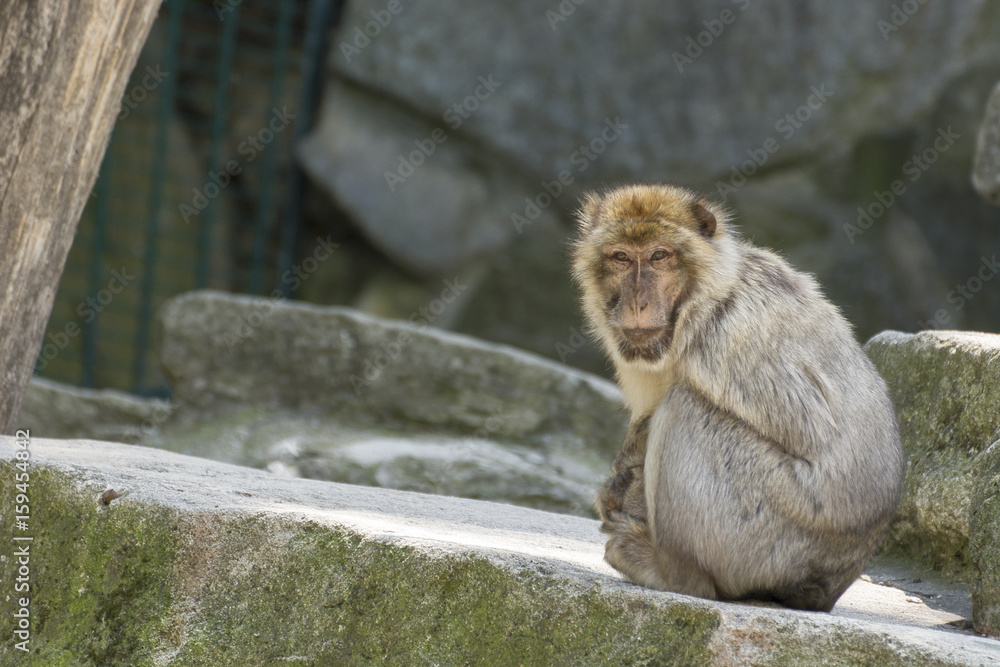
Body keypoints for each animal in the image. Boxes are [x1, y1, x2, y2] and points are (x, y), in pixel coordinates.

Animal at [571, 184, 905, 612]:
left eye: (660, 256)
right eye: (621, 257)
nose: (637, 303)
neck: (702, 296)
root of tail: (826, 589)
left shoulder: (725, 335)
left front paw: (620, 485)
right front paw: (614, 487)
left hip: (766, 536)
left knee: (685, 407)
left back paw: (675, 575)